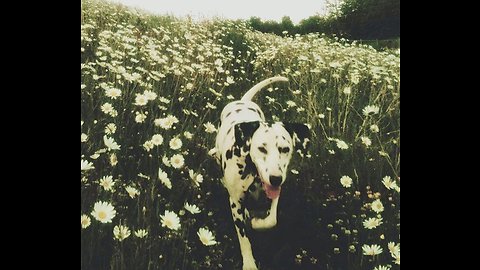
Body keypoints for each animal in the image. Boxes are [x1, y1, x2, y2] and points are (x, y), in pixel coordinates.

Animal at [214, 76, 312, 270]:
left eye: (285, 149)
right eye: (262, 148)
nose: (275, 179)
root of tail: (243, 101)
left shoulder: (274, 195)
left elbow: (271, 220)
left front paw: (257, 222)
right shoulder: (235, 201)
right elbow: (243, 237)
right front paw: (249, 263)